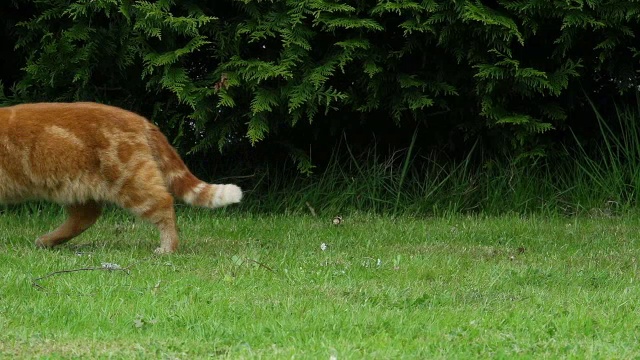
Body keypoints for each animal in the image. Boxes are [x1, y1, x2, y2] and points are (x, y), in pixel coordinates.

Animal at [0, 101, 242, 253]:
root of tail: (142, 120)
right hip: (73, 187)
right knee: (86, 217)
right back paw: (48, 241)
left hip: (129, 182)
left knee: (164, 204)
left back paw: (168, 248)